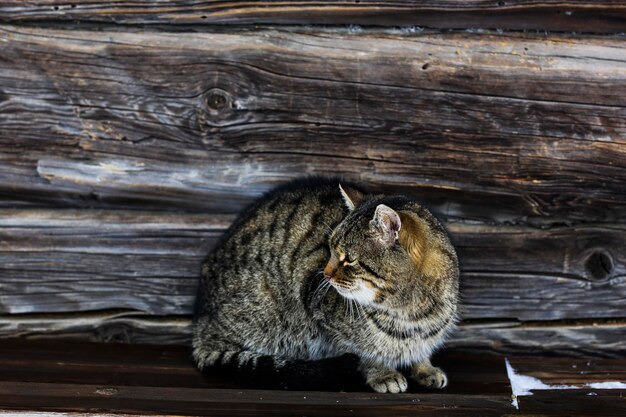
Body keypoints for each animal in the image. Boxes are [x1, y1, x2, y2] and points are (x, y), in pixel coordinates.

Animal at [191, 177, 458, 392]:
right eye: (329, 249)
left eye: (348, 259)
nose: (325, 274)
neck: (410, 312)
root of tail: (202, 321)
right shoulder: (323, 315)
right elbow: (364, 352)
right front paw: (382, 373)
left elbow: (421, 348)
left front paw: (425, 368)